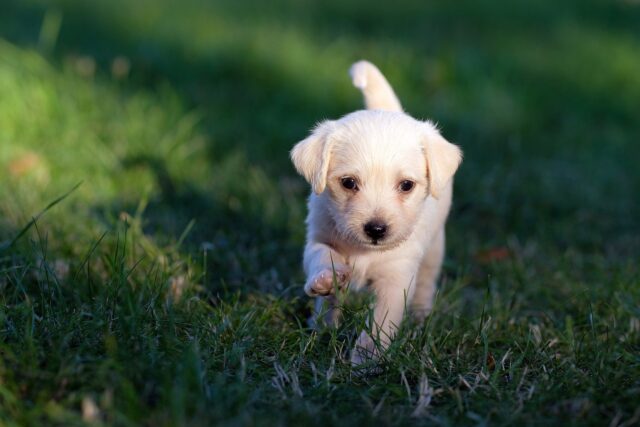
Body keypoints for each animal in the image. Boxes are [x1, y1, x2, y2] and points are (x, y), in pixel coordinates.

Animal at [290, 60, 460, 364]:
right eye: (348, 183)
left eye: (406, 185)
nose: (376, 229)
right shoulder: (318, 237)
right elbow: (322, 256)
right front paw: (326, 279)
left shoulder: (396, 278)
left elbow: (380, 323)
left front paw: (366, 359)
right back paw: (321, 325)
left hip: (435, 249)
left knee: (426, 283)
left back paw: (420, 317)